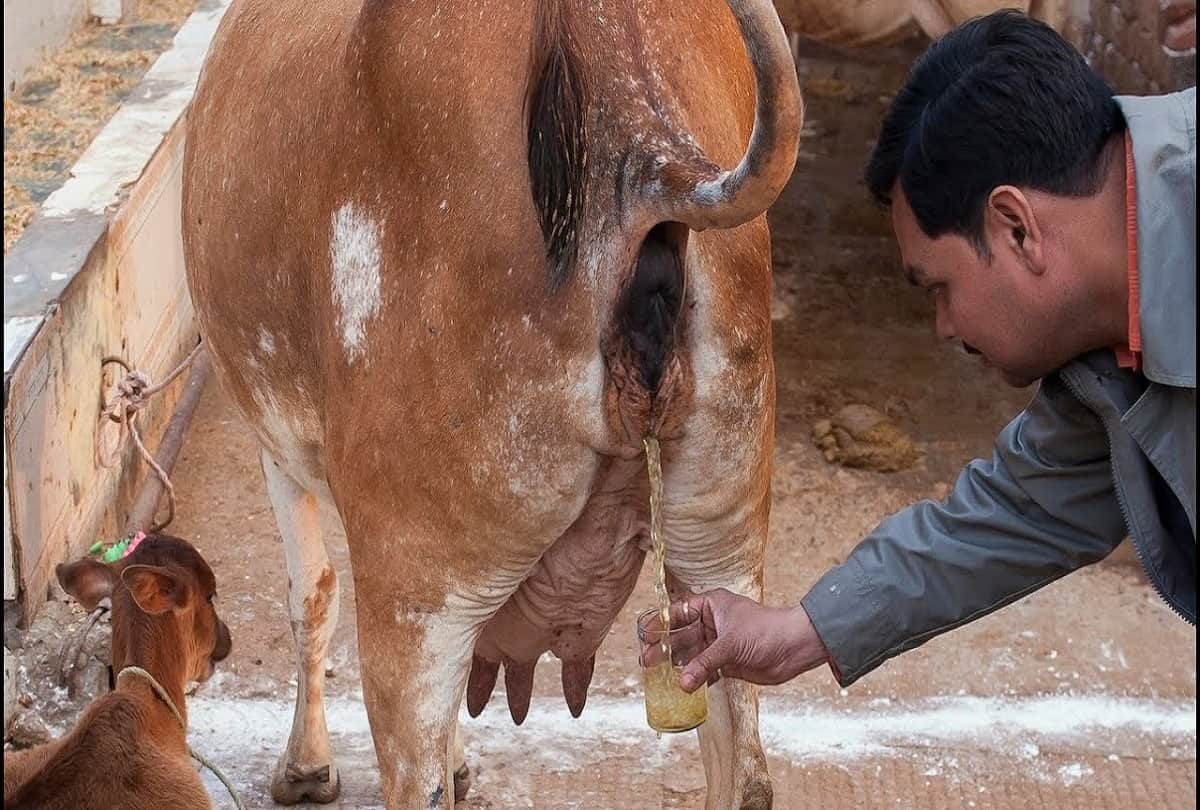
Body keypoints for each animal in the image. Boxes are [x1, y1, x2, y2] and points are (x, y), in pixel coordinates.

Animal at [181, 0, 801, 807]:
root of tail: (640, 141)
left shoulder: (278, 443)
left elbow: (310, 595)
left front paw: (307, 767)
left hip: (418, 591)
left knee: (413, 768)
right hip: (719, 544)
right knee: (747, 770)